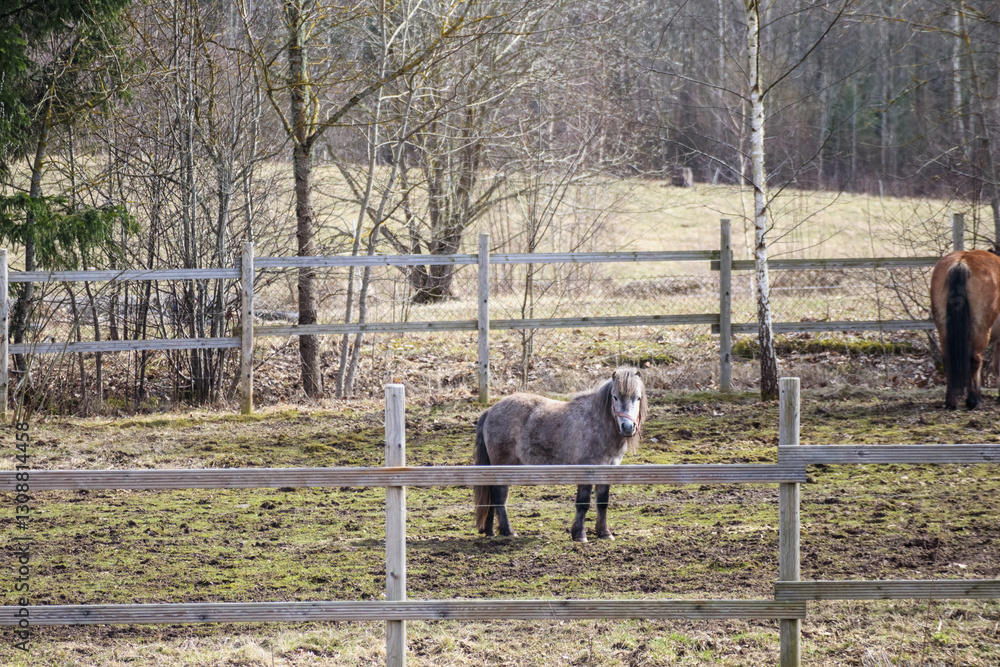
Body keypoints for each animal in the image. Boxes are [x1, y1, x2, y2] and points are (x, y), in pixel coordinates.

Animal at [473, 368, 647, 542]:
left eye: (637, 398)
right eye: (615, 397)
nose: (627, 427)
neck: (598, 423)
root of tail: (490, 410)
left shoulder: (607, 470)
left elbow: (603, 503)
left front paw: (604, 533)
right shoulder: (586, 470)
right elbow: (583, 503)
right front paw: (579, 534)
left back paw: (490, 531)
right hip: (503, 467)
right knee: (499, 497)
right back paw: (508, 531)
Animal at [930, 249, 1000, 409]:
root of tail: (961, 262)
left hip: (944, 329)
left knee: (947, 359)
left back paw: (951, 401)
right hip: (980, 330)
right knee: (974, 360)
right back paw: (973, 400)